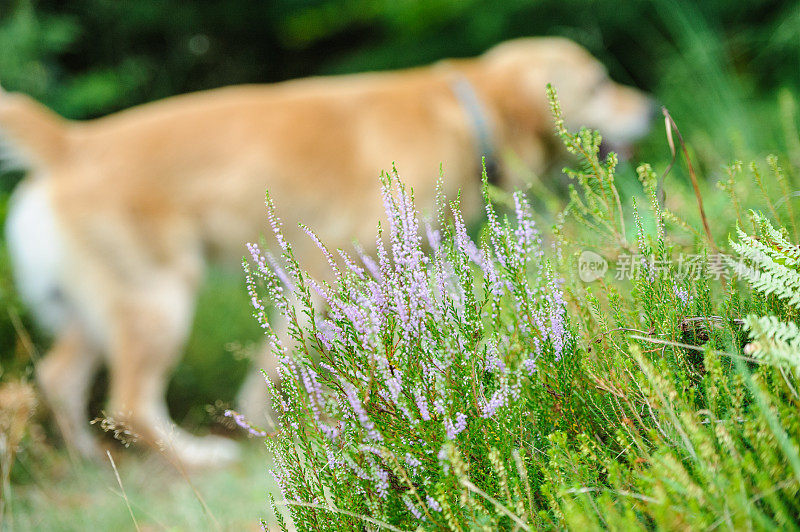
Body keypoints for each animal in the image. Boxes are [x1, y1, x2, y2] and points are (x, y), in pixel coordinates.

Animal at [0, 37, 652, 468]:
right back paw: (199, 457)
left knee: (60, 380)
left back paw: (91, 458)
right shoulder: (333, 263)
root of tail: (70, 142)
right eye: (599, 84)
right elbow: (277, 361)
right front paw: (280, 427)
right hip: (159, 297)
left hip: (101, 306)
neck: (465, 111)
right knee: (131, 402)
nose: (649, 106)